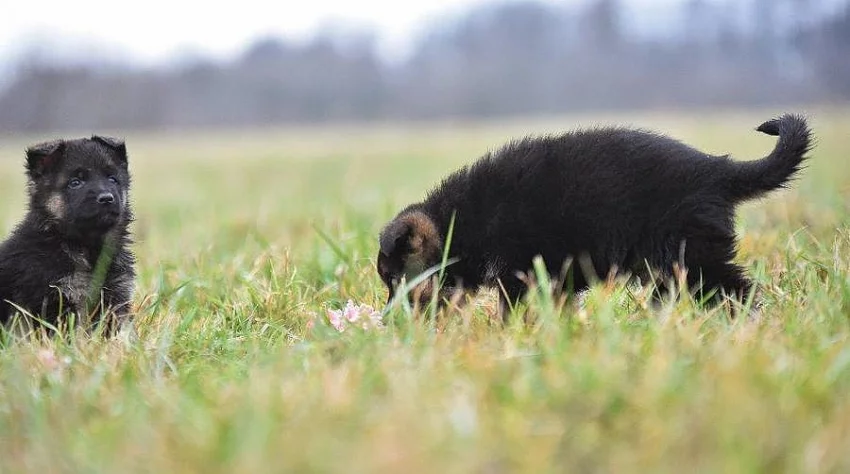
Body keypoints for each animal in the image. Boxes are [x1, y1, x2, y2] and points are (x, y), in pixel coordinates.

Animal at [376, 115, 808, 314]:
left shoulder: (521, 274)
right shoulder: (553, 281)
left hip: (690, 255)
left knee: (737, 289)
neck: (459, 223)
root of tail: (717, 169)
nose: (388, 320)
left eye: (395, 279)